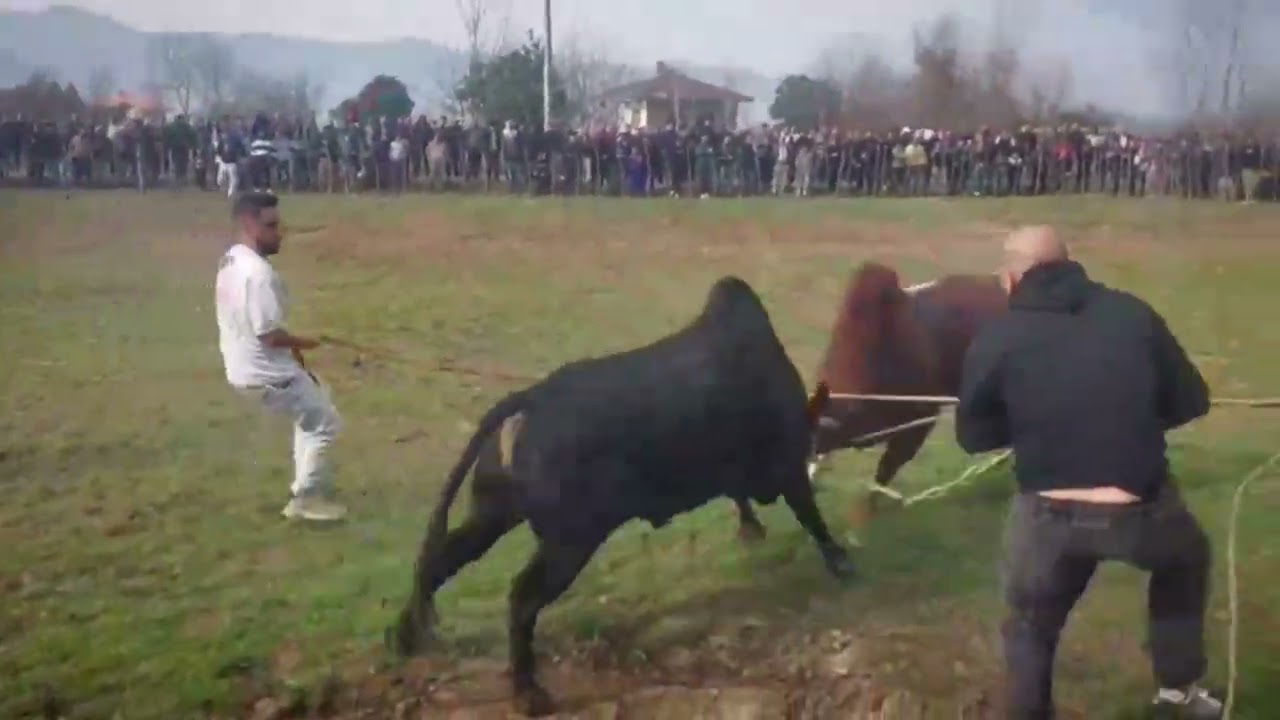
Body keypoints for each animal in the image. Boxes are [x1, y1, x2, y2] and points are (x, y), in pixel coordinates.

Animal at [389, 276, 854, 717]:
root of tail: (530, 400)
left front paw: (753, 528)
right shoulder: (787, 466)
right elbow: (811, 515)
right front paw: (842, 562)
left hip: (492, 516)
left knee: (437, 562)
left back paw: (405, 638)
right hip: (569, 542)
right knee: (520, 598)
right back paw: (529, 694)